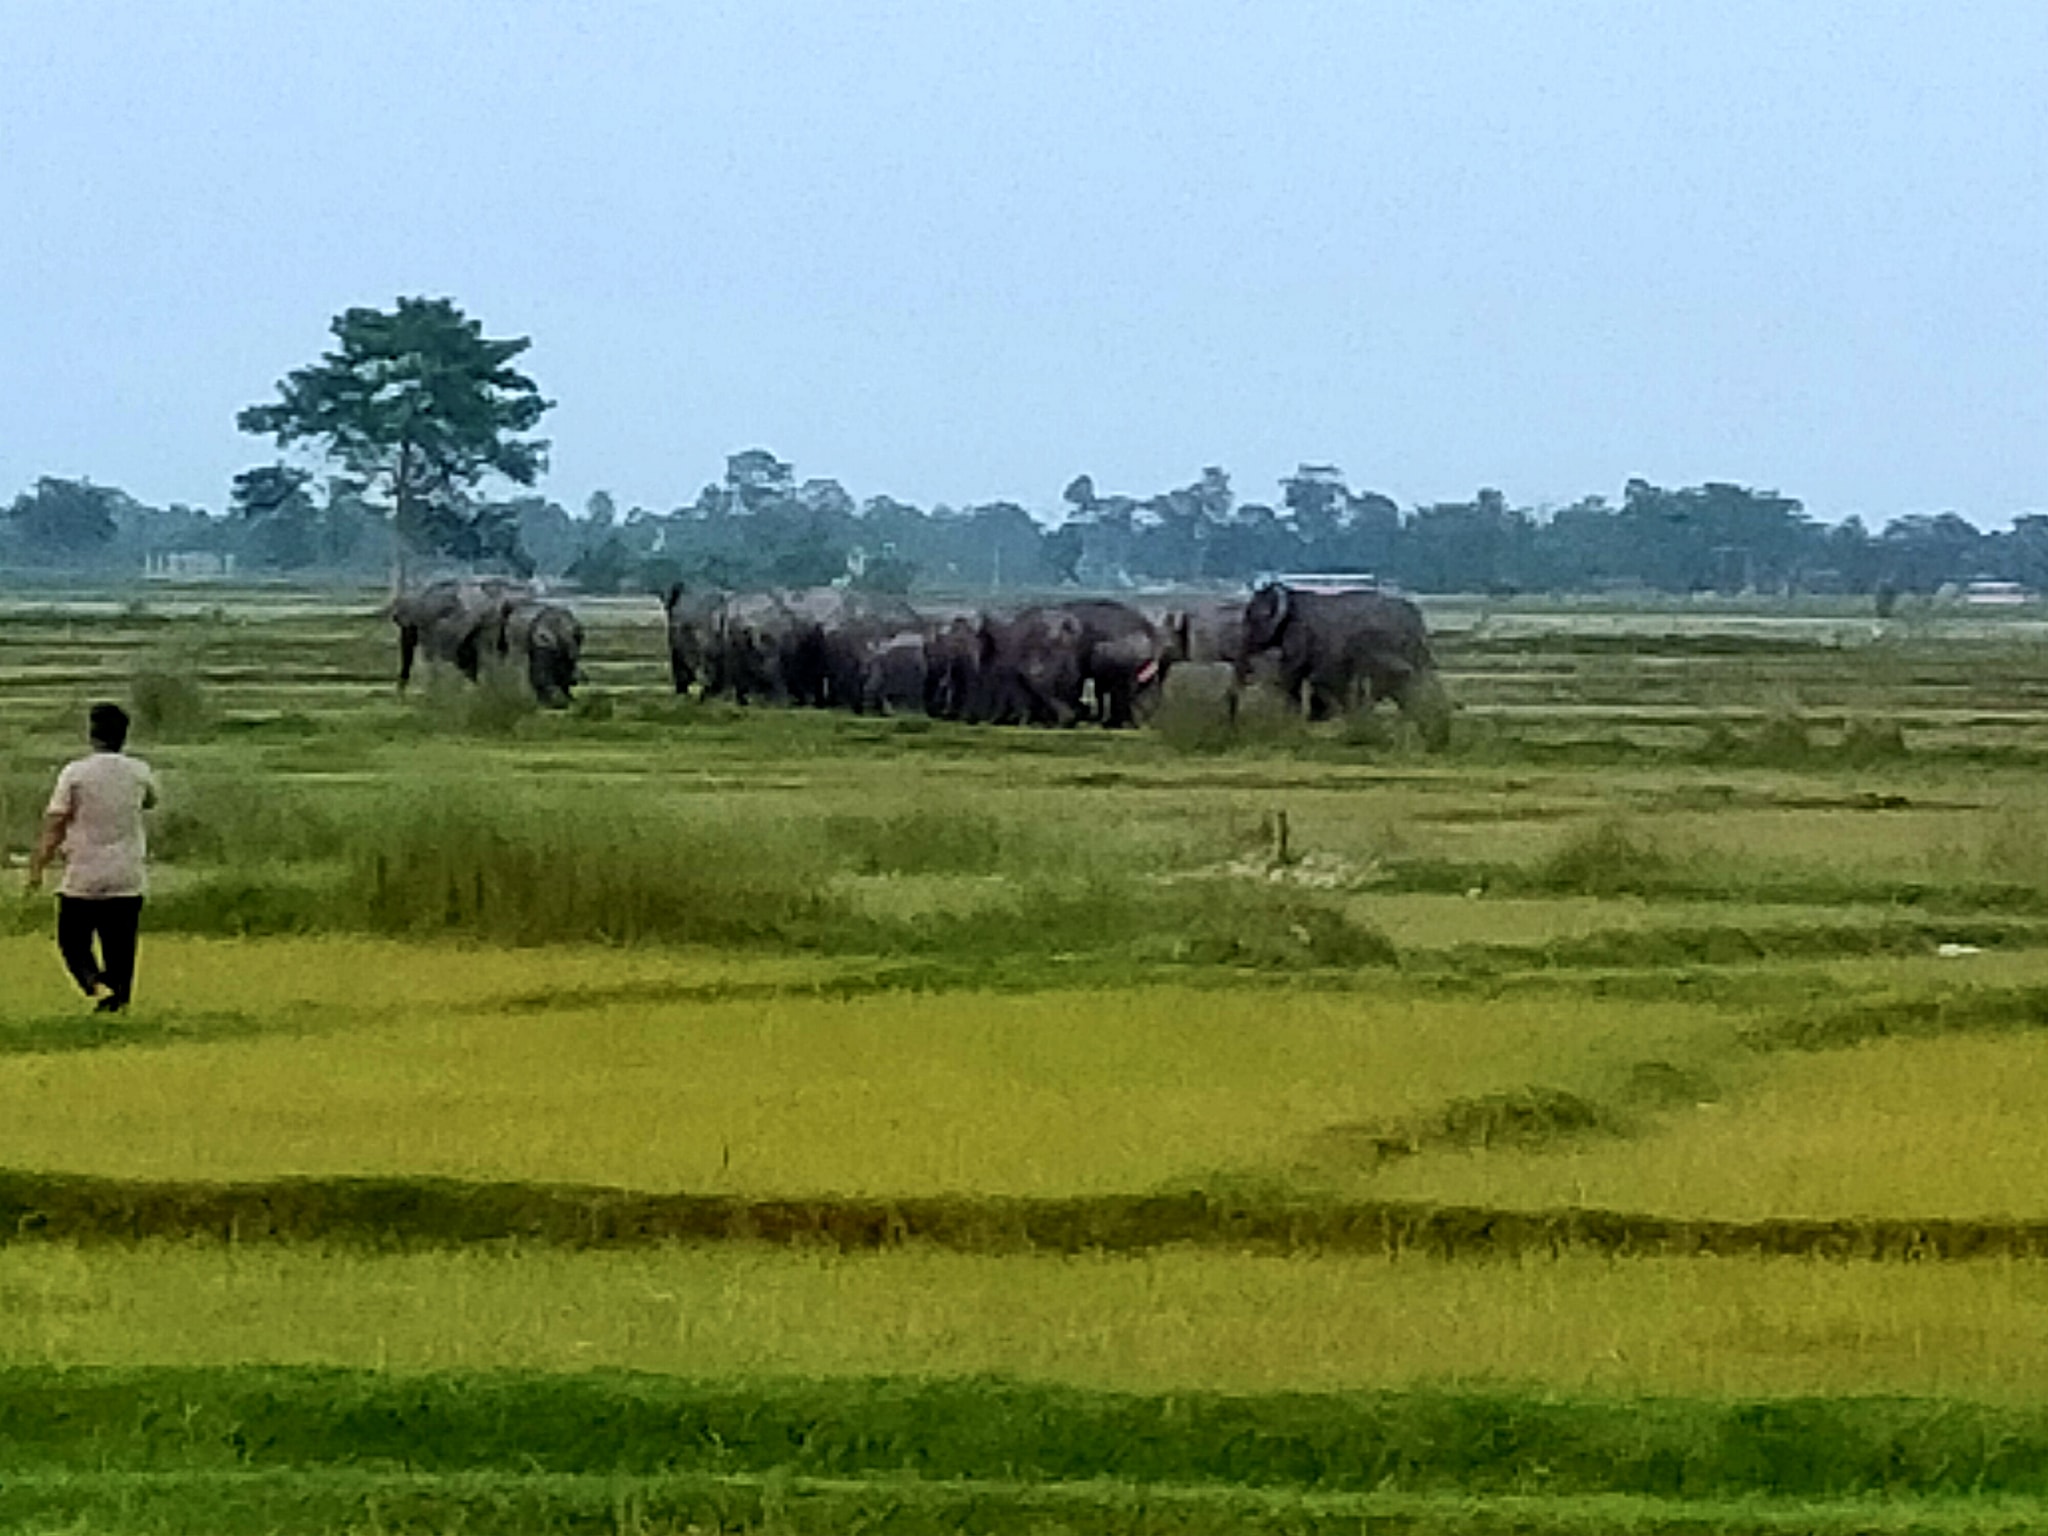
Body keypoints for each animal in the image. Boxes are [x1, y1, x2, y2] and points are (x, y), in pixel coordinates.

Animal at [1236, 581, 1449, 749]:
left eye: (1251, 617)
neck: (1291, 595)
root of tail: (1417, 620)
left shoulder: (1300, 634)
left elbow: (1292, 675)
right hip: (1416, 655)